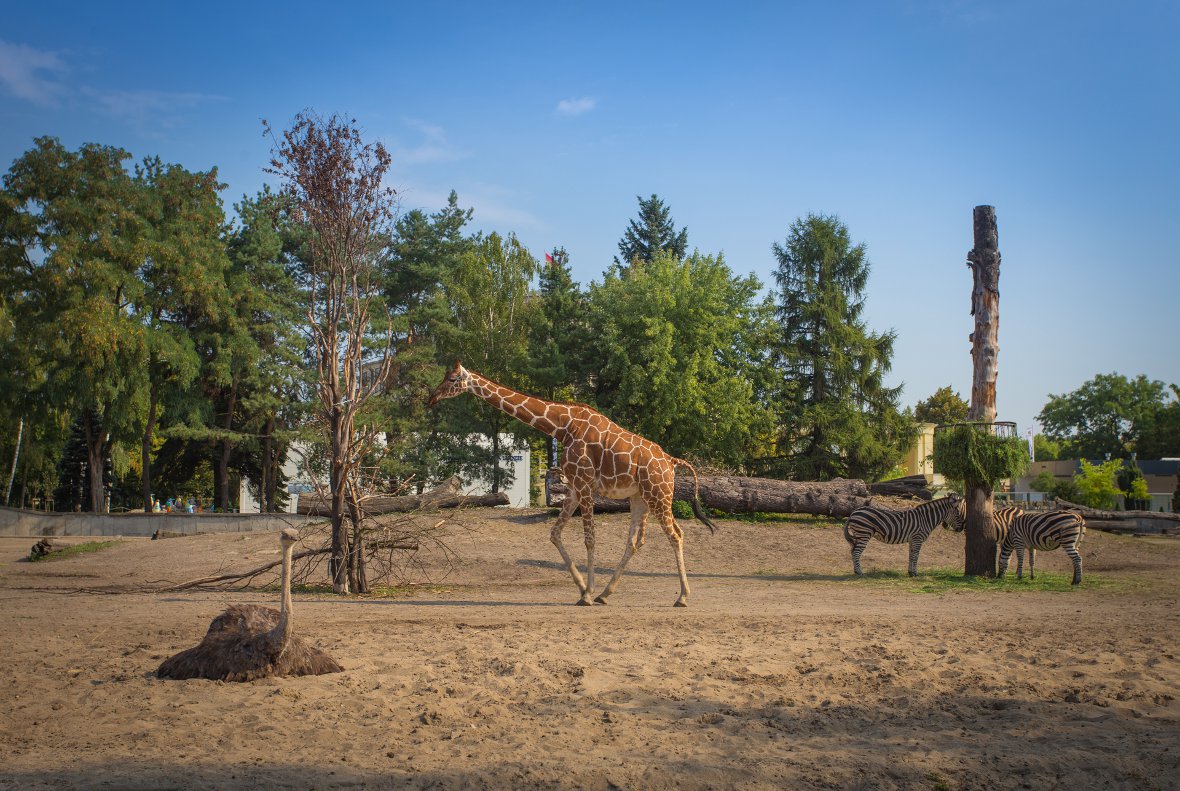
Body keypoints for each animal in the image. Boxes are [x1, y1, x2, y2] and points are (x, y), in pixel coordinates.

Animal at [429, 363, 712, 609]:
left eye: (452, 379)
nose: (432, 397)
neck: (563, 426)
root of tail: (671, 461)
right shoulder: (575, 486)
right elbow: (554, 533)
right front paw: (583, 590)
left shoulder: (585, 484)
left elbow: (590, 539)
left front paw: (587, 594)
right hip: (640, 497)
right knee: (635, 540)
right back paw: (606, 594)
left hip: (658, 494)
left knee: (675, 534)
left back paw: (682, 597)